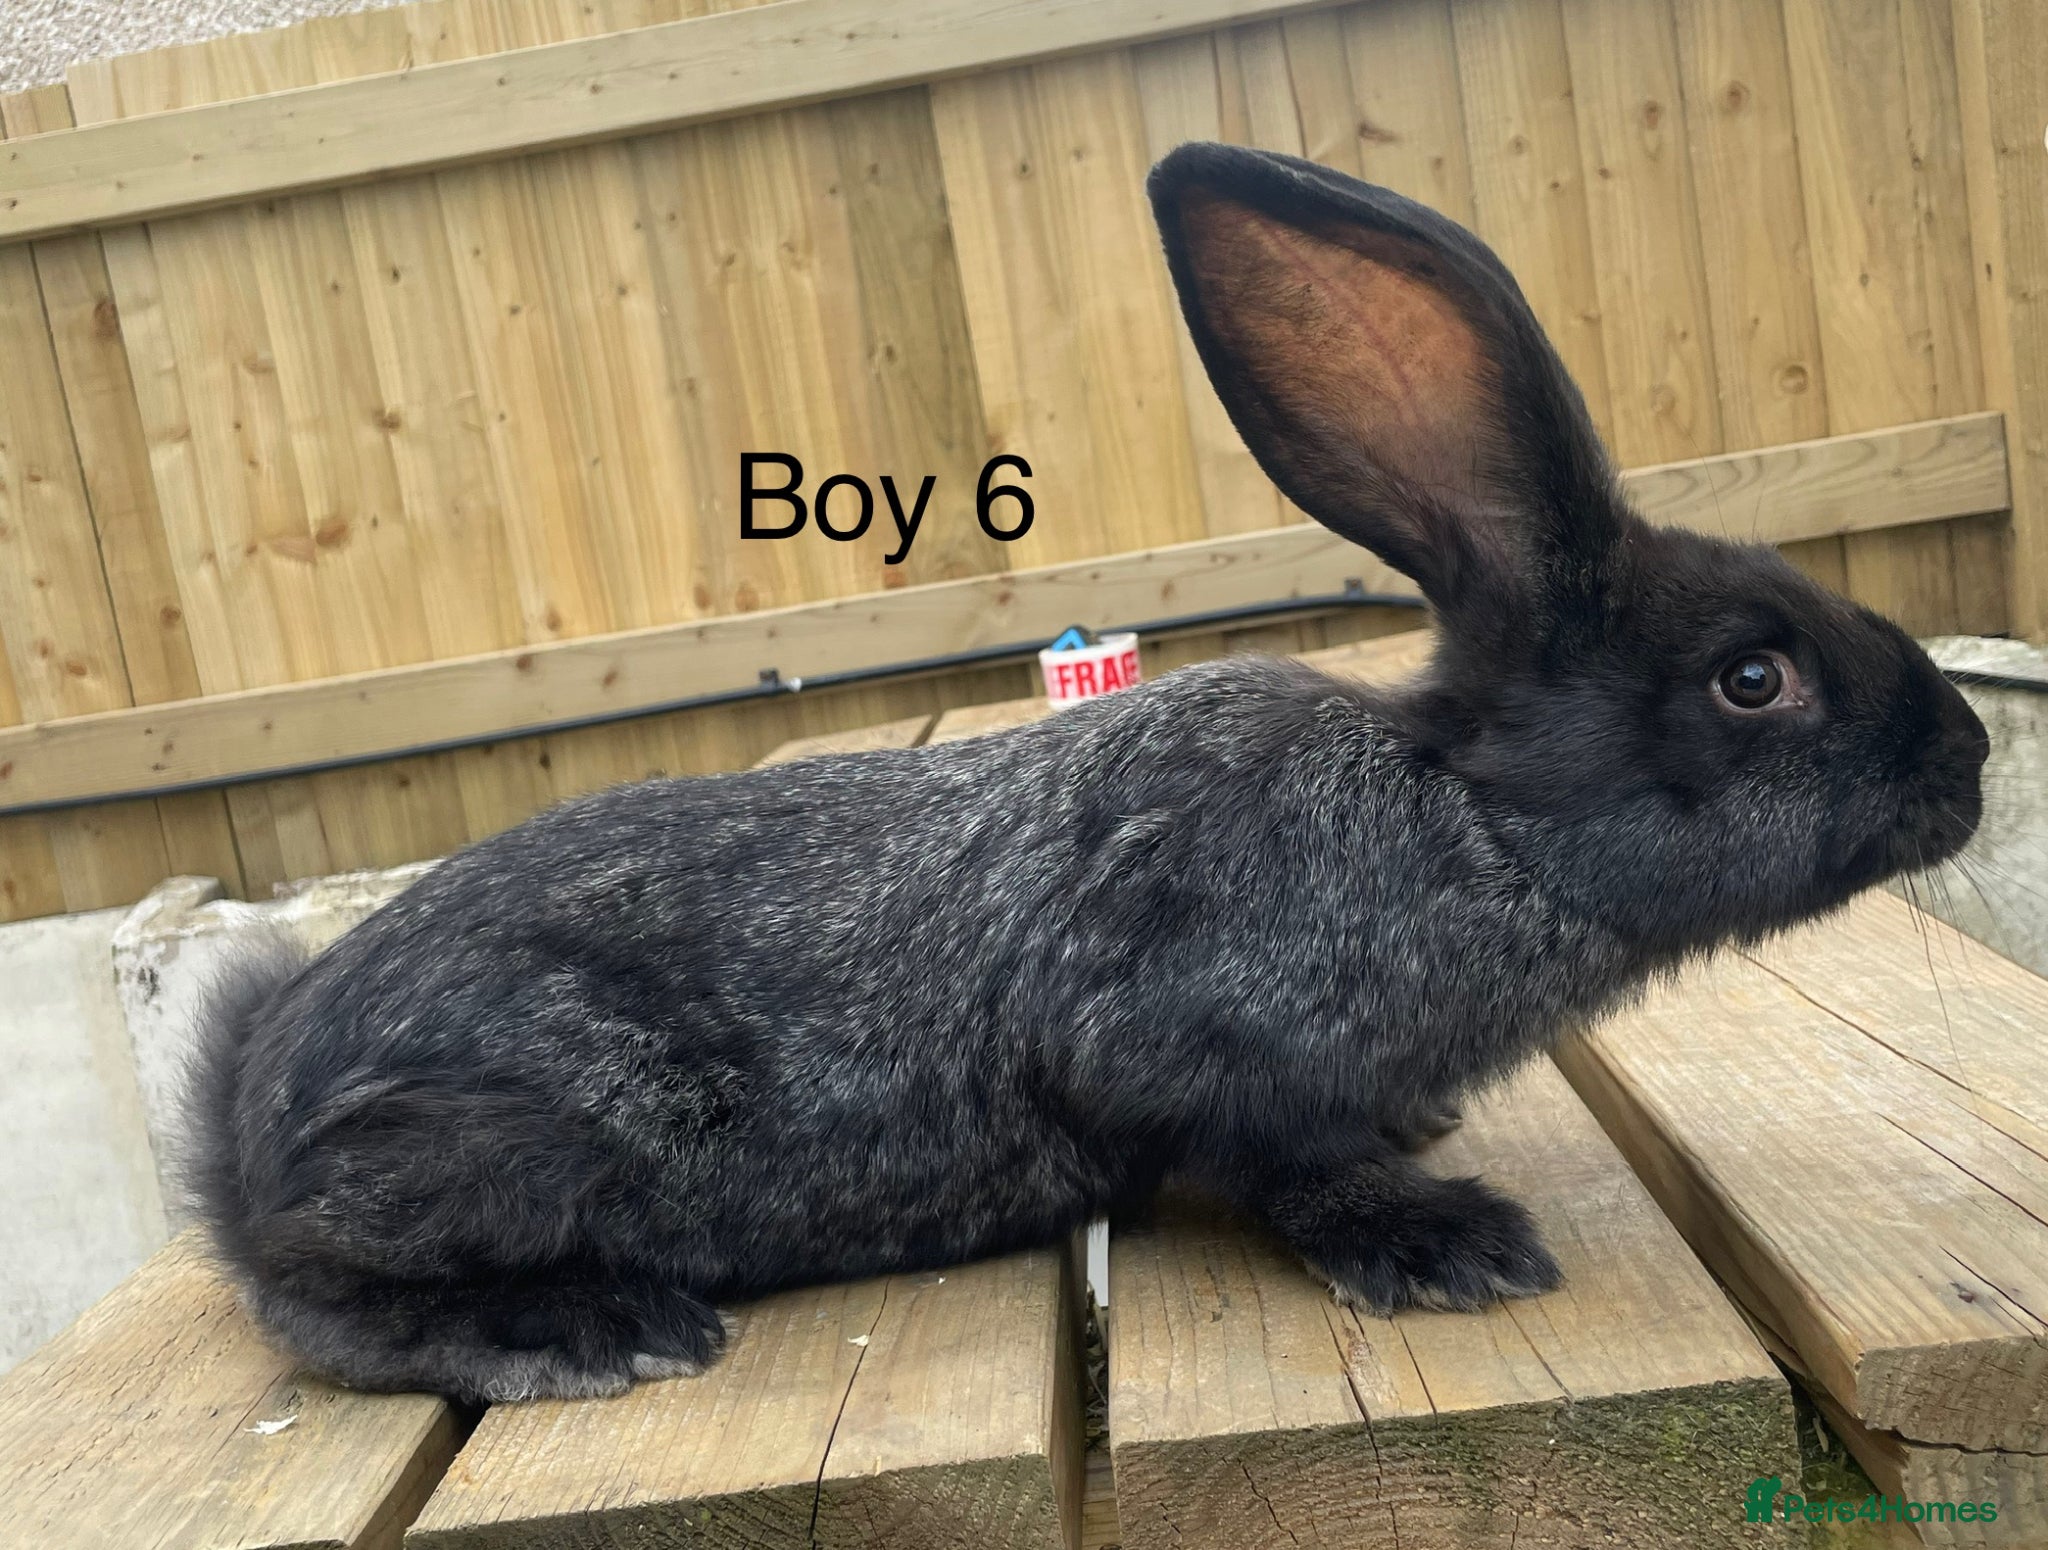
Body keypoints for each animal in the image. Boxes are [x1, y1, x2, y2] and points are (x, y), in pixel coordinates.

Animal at [186, 142, 1989, 1404]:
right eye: (1752, 677)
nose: (1968, 761)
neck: (1471, 825)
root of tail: (241, 1128)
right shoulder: (1177, 1048)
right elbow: (1278, 1164)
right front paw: (1448, 1245)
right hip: (506, 1141)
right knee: (319, 1305)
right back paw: (591, 1332)